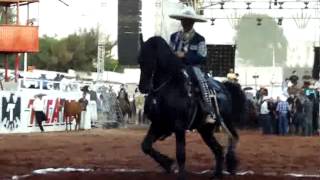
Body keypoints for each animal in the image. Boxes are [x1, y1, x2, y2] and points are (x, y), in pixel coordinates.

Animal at [138, 35, 248, 179]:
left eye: (152, 59)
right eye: (139, 60)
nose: (142, 87)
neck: (168, 87)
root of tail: (224, 87)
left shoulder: (179, 127)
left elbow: (180, 154)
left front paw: (180, 174)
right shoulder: (159, 124)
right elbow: (146, 146)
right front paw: (167, 164)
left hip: (226, 121)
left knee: (233, 138)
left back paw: (230, 164)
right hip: (205, 130)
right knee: (218, 149)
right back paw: (217, 174)